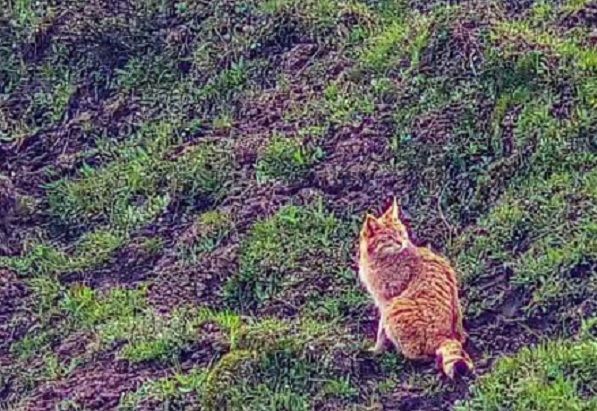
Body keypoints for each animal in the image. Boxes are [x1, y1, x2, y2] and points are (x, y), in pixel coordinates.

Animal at [356, 200, 472, 380]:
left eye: (401, 233)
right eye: (389, 237)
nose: (401, 242)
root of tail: (447, 336)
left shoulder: (385, 302)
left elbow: (381, 331)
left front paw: (377, 349)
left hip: (395, 309)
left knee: (420, 354)